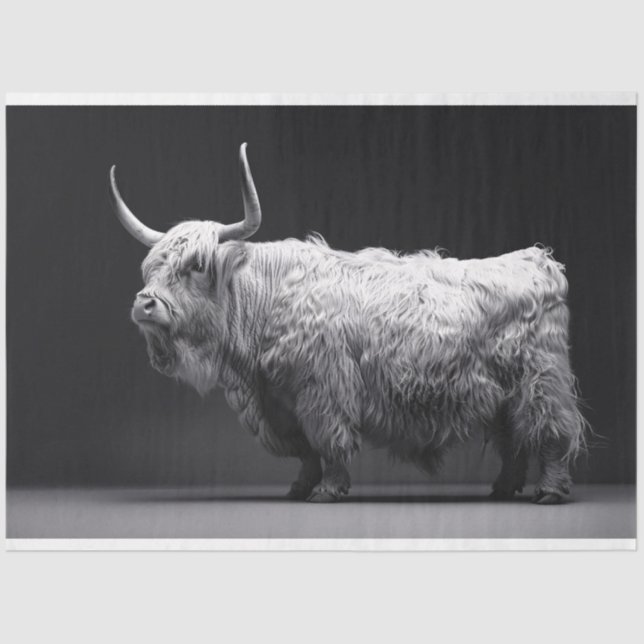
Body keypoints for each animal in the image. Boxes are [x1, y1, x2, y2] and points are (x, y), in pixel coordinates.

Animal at [109, 143, 587, 504]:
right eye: (151, 267)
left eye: (196, 265)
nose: (145, 304)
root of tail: (538, 259)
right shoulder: (280, 401)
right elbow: (305, 450)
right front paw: (300, 487)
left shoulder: (324, 388)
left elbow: (328, 441)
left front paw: (328, 490)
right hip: (501, 391)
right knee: (513, 437)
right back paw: (504, 488)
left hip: (541, 378)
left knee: (552, 429)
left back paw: (549, 491)